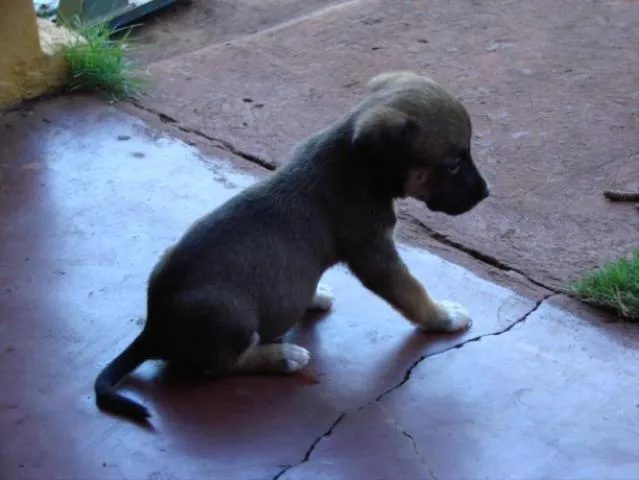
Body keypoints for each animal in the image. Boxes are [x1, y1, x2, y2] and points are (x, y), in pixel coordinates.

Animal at [95, 70, 490, 420]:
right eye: (454, 163)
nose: (486, 193)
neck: (355, 161)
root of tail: (153, 329)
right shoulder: (374, 254)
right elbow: (413, 292)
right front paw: (443, 316)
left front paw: (313, 295)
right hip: (227, 311)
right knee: (218, 367)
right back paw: (282, 357)